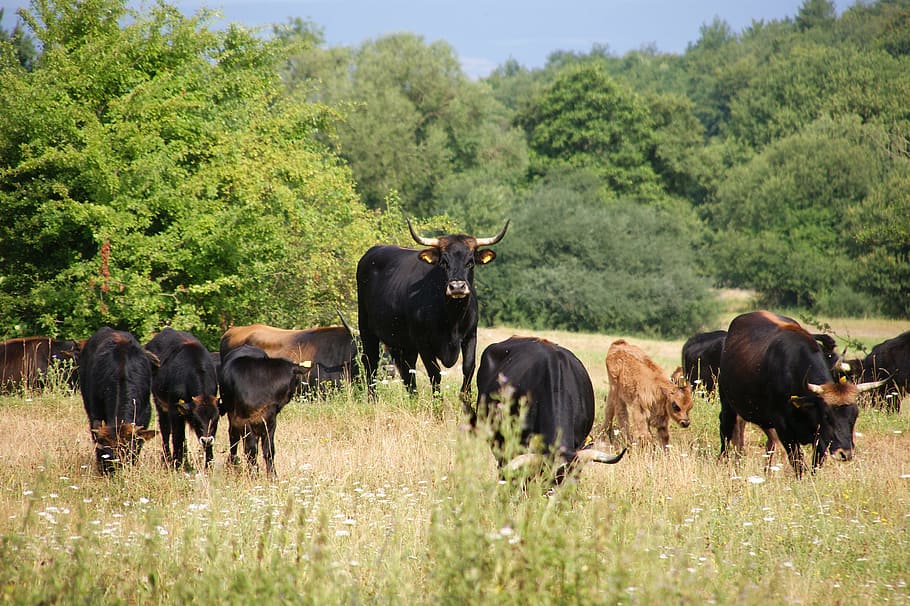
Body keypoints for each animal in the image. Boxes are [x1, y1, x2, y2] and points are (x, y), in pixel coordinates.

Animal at [145, 328, 220, 470]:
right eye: (197, 420)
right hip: (160, 404)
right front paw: (176, 463)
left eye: (215, 420)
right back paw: (167, 458)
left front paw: (209, 465)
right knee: (165, 430)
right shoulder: (174, 411)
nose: (206, 440)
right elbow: (177, 437)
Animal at [218, 345, 307, 477]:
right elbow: (251, 449)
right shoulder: (243, 421)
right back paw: (233, 463)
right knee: (234, 437)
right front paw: (254, 474)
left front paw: (272, 476)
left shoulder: (270, 421)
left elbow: (269, 449)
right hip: (233, 415)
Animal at [357, 219, 508, 408]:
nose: (457, 287)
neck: (452, 319)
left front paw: (466, 403)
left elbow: (468, 367)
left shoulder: (470, 335)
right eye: (444, 262)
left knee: (407, 370)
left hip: (402, 341)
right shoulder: (423, 342)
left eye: (470, 262)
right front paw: (438, 407)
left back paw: (413, 401)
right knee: (371, 362)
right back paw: (373, 400)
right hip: (367, 329)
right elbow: (434, 373)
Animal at [718, 311, 884, 477]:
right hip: (728, 406)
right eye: (827, 415)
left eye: (855, 415)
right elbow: (798, 465)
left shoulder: (819, 438)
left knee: (766, 442)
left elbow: (815, 466)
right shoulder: (785, 430)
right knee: (727, 434)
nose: (845, 453)